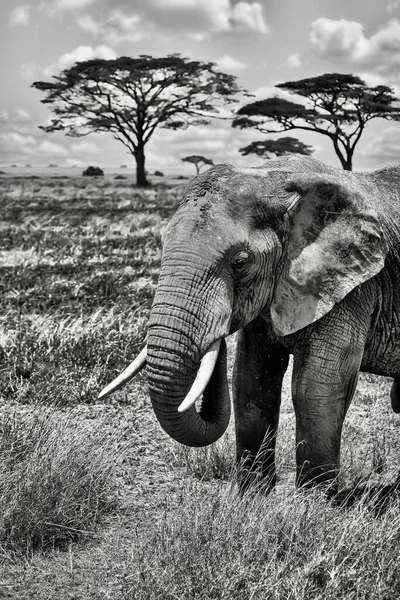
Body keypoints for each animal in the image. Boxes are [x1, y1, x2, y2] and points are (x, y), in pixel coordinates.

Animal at [97, 155, 400, 492]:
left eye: (240, 263)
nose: (216, 335)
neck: (276, 176)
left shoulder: (353, 288)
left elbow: (316, 388)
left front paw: (314, 501)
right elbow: (252, 381)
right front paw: (253, 494)